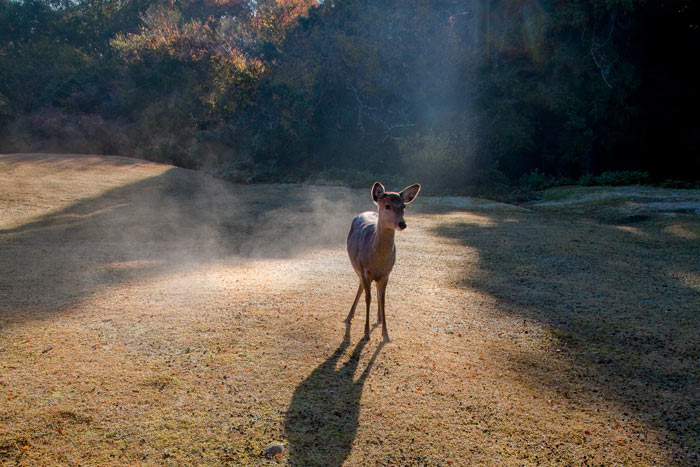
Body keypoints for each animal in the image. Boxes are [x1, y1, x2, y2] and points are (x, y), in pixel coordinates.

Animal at [344, 181, 422, 342]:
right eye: (387, 206)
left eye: (403, 206)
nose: (402, 224)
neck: (377, 261)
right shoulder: (364, 270)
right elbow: (368, 298)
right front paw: (366, 334)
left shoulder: (387, 273)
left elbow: (383, 300)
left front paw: (386, 335)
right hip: (356, 266)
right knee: (361, 287)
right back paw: (349, 317)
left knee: (374, 291)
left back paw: (379, 318)